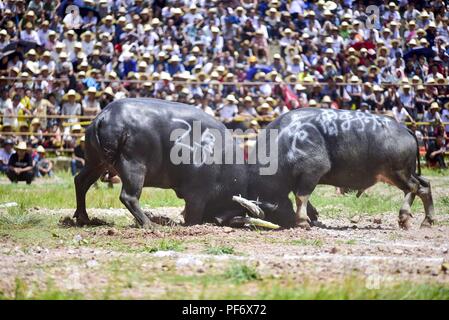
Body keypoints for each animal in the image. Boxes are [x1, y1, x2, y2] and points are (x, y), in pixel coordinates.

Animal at [74, 99, 250, 226]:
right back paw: (149, 224)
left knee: (80, 181)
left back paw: (83, 218)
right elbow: (193, 216)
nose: (236, 220)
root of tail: (104, 116)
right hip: (133, 167)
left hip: (95, 163)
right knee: (128, 197)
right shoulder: (197, 195)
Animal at [248, 107, 434, 230]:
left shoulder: (312, 172)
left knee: (413, 187)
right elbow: (302, 197)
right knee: (424, 185)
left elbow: (301, 197)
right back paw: (427, 221)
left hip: (398, 173)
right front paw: (313, 216)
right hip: (406, 172)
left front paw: (301, 221)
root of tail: (406, 129)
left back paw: (404, 218)